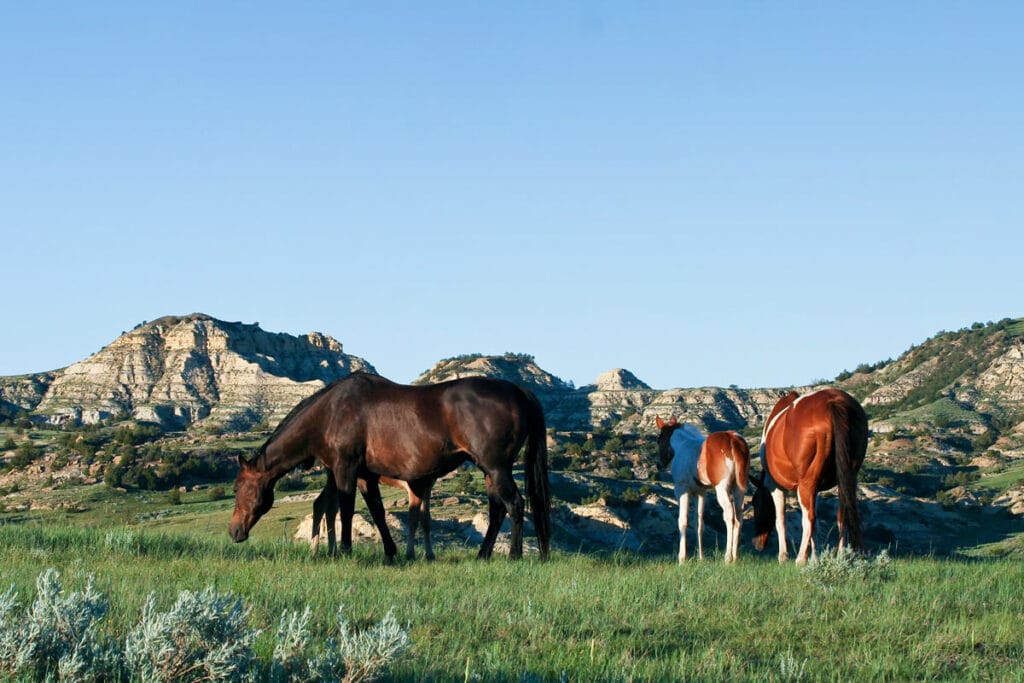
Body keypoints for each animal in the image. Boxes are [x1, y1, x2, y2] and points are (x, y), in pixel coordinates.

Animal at [311, 475, 440, 561]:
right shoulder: (414, 485)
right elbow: (413, 520)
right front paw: (410, 555)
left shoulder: (427, 486)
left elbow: (426, 520)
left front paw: (430, 555)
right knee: (321, 503)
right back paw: (315, 551)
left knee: (328, 507)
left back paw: (331, 552)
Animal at [655, 419, 753, 565]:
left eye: (659, 439)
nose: (659, 465)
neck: (681, 447)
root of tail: (733, 439)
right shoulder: (701, 493)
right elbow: (699, 524)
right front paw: (700, 557)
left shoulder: (682, 490)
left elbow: (683, 521)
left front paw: (682, 558)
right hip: (738, 490)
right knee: (739, 518)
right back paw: (735, 557)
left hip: (722, 489)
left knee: (729, 516)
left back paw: (727, 557)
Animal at [749, 387, 868, 565]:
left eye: (755, 503)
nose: (757, 544)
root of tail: (833, 402)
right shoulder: (817, 489)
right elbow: (817, 525)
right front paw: (816, 557)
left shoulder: (775, 486)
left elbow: (781, 520)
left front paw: (783, 556)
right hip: (847, 478)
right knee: (842, 513)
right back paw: (840, 556)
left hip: (806, 484)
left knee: (809, 517)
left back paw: (800, 559)